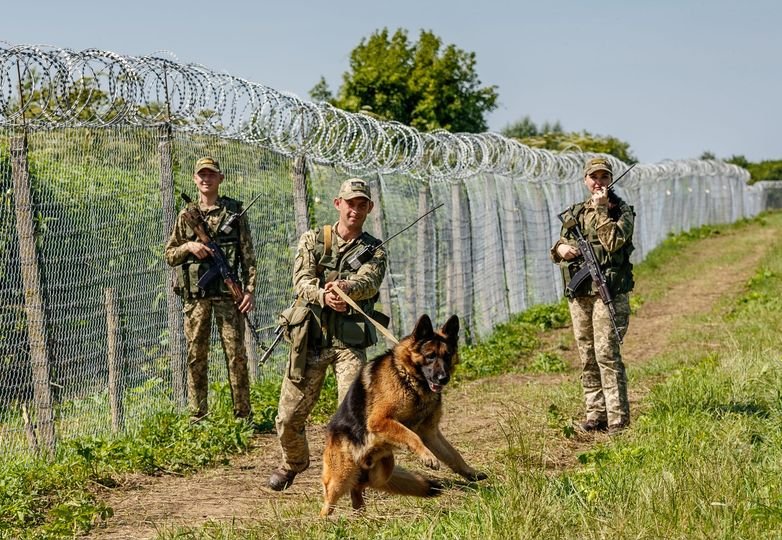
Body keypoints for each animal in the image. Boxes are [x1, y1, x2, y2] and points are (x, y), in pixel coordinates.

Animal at [322, 314, 486, 516]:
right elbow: (411, 435)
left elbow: (453, 454)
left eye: (447, 356)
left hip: (383, 470)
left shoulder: (431, 433)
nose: (443, 379)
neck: (408, 378)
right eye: (430, 356)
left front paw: (470, 472)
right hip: (340, 478)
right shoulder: (380, 420)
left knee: (359, 487)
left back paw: (363, 516)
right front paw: (427, 457)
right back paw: (325, 522)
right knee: (329, 502)